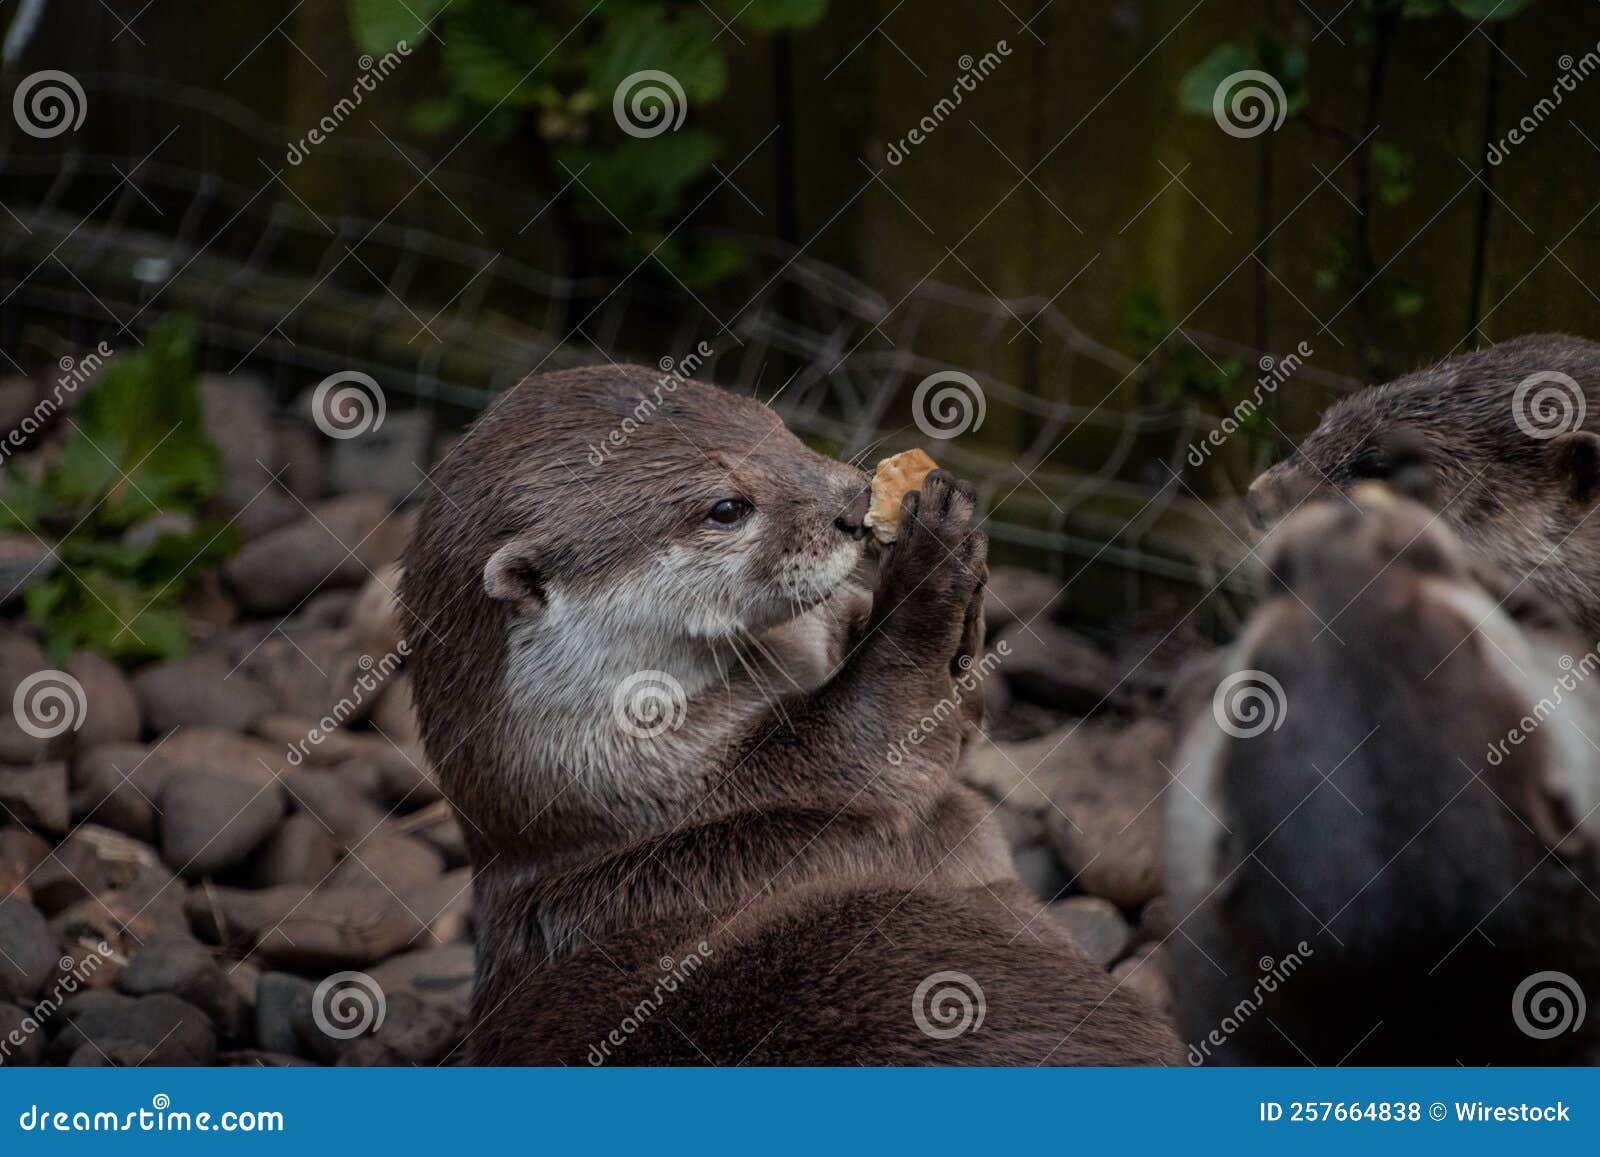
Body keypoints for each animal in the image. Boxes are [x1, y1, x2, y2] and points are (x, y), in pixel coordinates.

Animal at [401, 363, 1179, 1065]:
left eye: (776, 427)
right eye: (726, 508)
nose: (854, 503)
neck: (628, 814)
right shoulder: (740, 778)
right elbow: (881, 736)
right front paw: (932, 563)